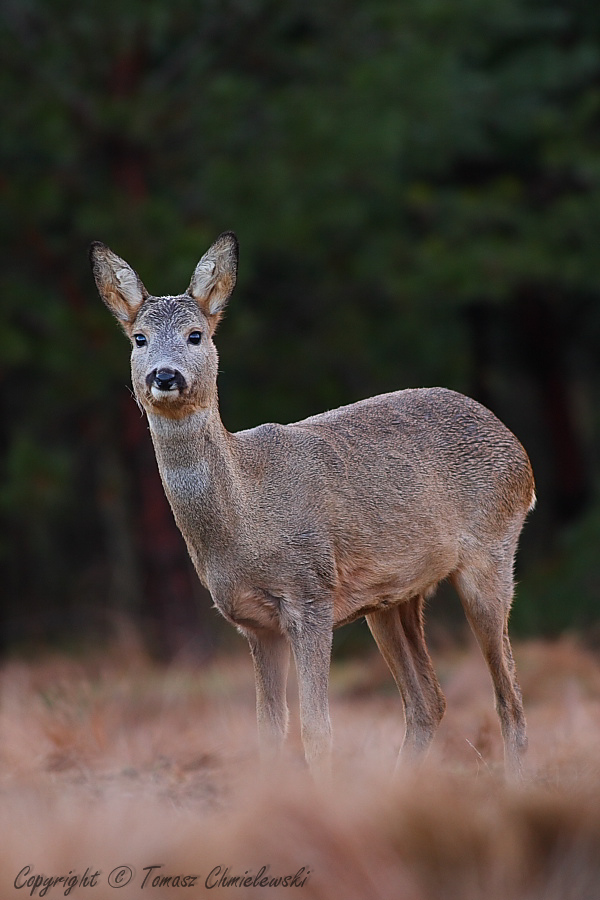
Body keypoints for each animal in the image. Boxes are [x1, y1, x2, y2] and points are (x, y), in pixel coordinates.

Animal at [91, 232, 536, 780]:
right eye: (139, 339)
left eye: (196, 335)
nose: (165, 375)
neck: (246, 514)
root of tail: (518, 450)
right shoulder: (253, 624)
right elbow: (269, 731)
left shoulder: (311, 596)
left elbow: (317, 728)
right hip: (391, 598)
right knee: (428, 701)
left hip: (491, 553)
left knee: (509, 695)